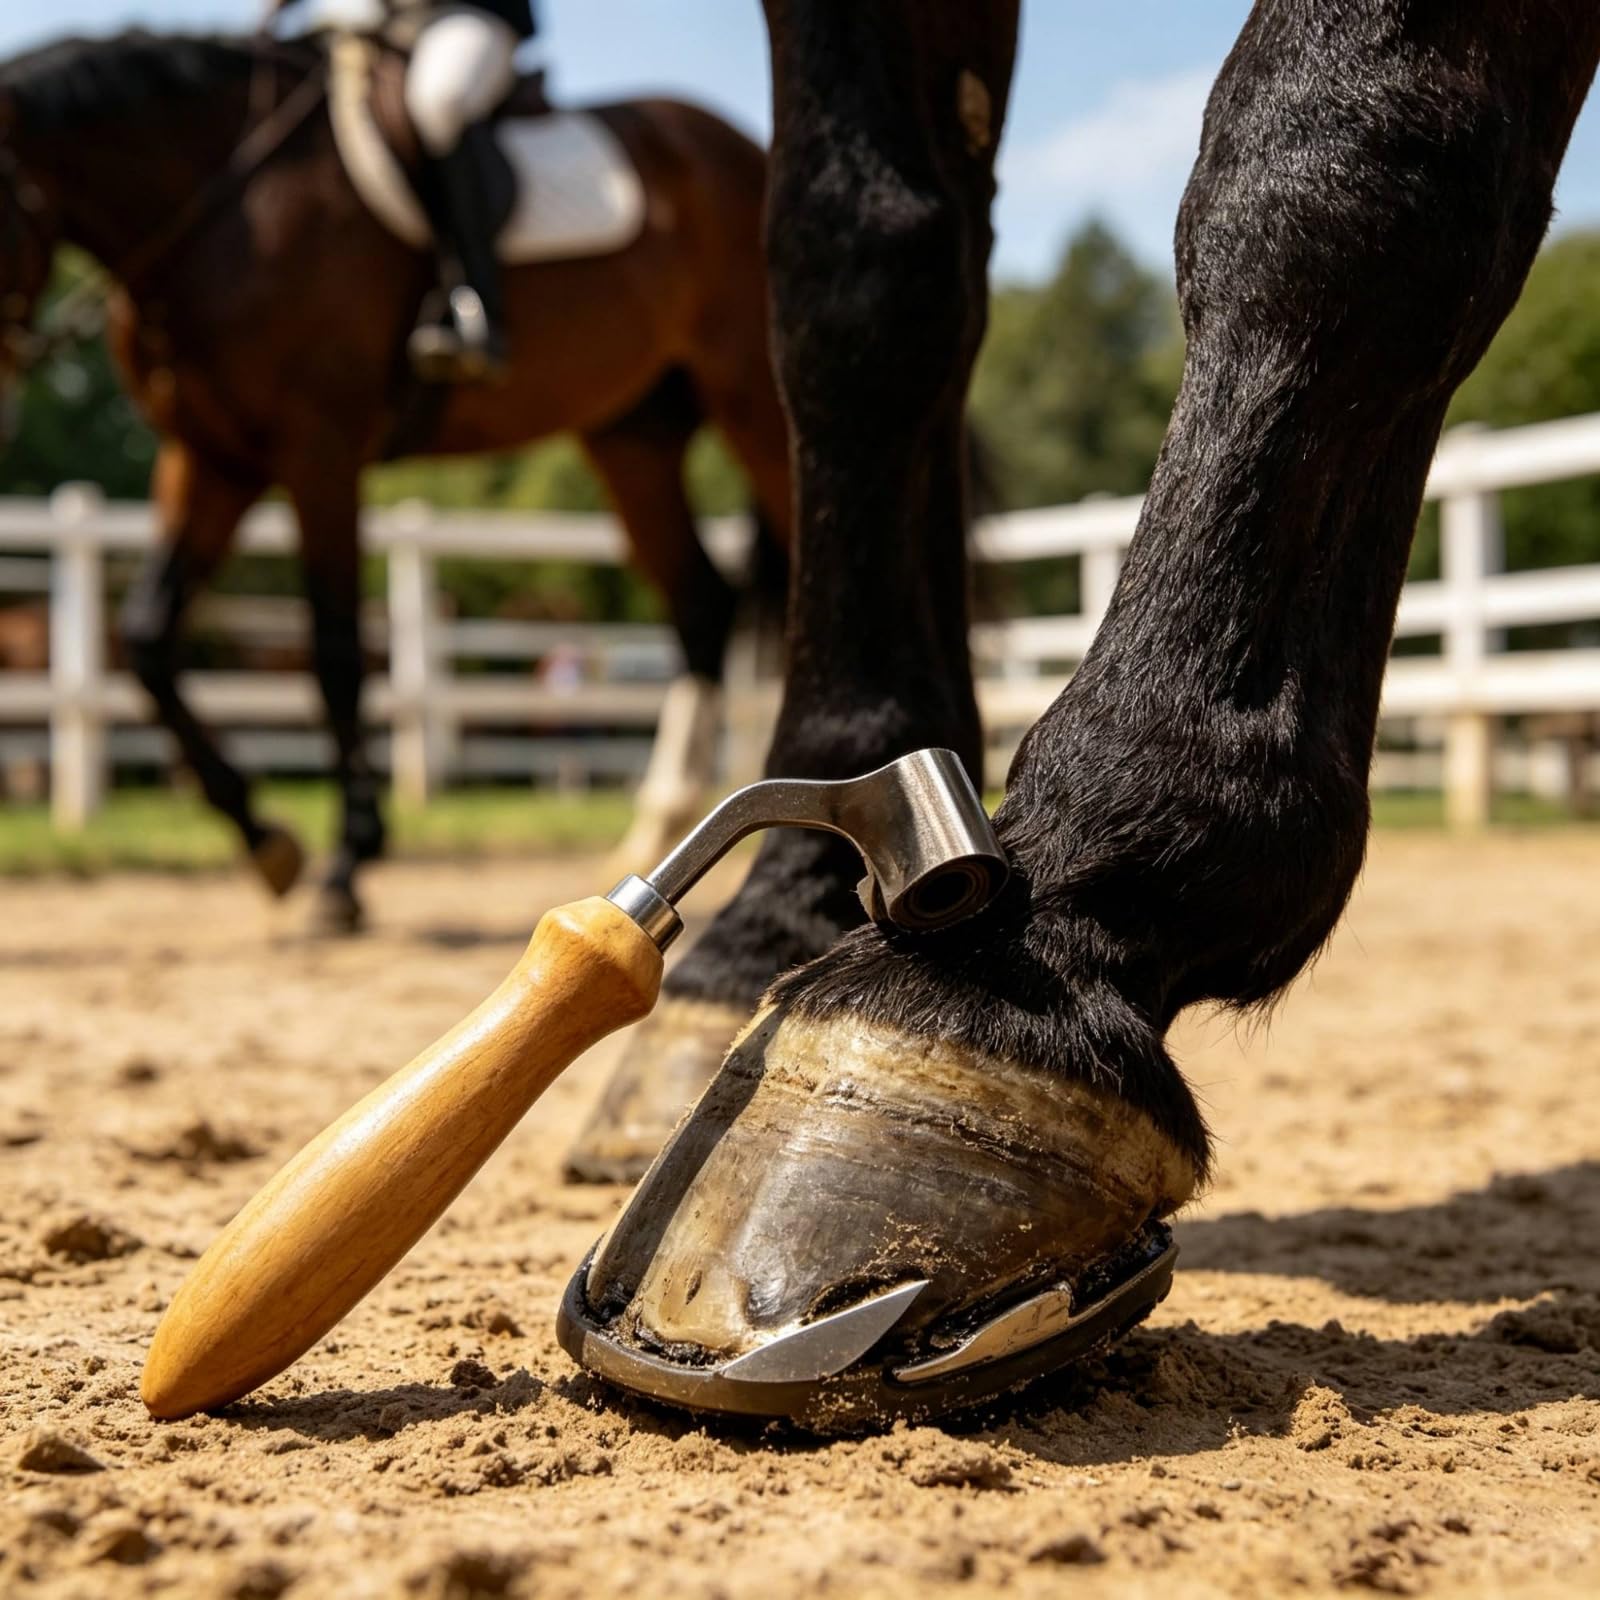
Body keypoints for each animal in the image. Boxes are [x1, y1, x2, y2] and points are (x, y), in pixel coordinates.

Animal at [0, 29, 790, 930]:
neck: (222, 206)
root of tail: (738, 145)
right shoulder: (209, 458)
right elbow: (146, 641)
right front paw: (267, 843)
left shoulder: (320, 451)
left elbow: (336, 654)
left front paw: (347, 866)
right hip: (633, 437)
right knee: (703, 607)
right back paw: (657, 822)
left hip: (756, 401)